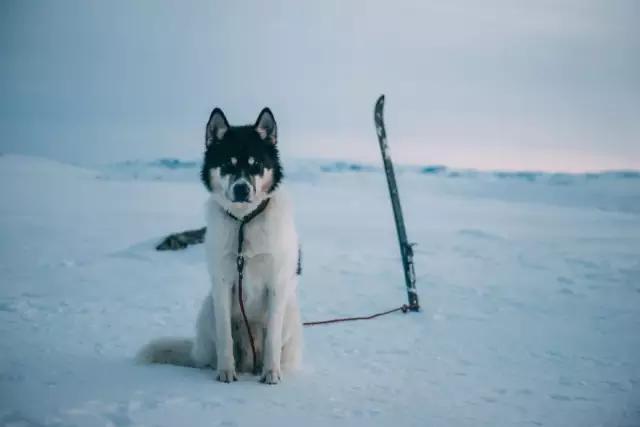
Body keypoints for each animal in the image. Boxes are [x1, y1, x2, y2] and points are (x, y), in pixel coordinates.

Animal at [138, 107, 302, 384]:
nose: (241, 189)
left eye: (256, 165)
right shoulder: (223, 283)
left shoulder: (276, 284)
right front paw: (226, 372)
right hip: (208, 309)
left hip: (290, 310)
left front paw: (271, 373)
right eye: (227, 164)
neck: (244, 221)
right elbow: (225, 335)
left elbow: (272, 338)